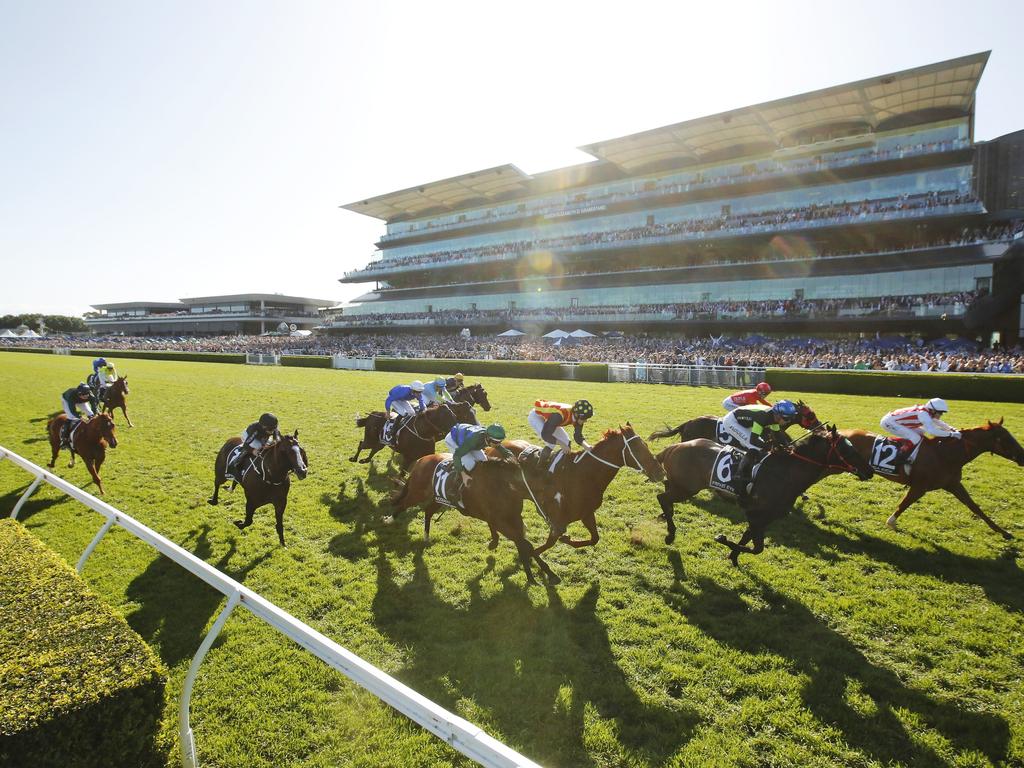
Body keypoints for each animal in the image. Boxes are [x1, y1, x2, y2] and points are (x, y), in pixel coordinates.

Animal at [389, 454, 561, 585]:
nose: (557, 525)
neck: (504, 485)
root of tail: (421, 460)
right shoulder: (501, 522)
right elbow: (527, 545)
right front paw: (541, 576)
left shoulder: (513, 520)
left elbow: (526, 545)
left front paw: (539, 575)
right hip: (418, 493)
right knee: (403, 504)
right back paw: (389, 519)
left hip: (438, 498)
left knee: (428, 511)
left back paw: (425, 537)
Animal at [495, 428, 663, 581]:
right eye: (636, 448)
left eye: (646, 444)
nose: (660, 472)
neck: (583, 475)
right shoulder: (558, 522)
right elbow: (540, 547)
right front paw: (543, 568)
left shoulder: (586, 513)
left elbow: (594, 539)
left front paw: (566, 540)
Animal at [655, 428, 872, 565]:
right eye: (847, 449)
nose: (869, 470)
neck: (786, 473)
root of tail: (673, 447)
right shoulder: (755, 514)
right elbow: (757, 548)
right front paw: (722, 539)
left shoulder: (766, 517)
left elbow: (748, 539)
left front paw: (733, 557)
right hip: (687, 488)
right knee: (662, 497)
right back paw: (670, 534)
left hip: (680, 484)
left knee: (665, 492)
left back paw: (665, 516)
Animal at [839, 421, 1024, 540]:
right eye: (1006, 438)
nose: (1022, 456)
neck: (945, 454)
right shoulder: (920, 487)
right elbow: (904, 503)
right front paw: (891, 522)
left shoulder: (953, 484)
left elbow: (975, 508)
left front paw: (1004, 532)